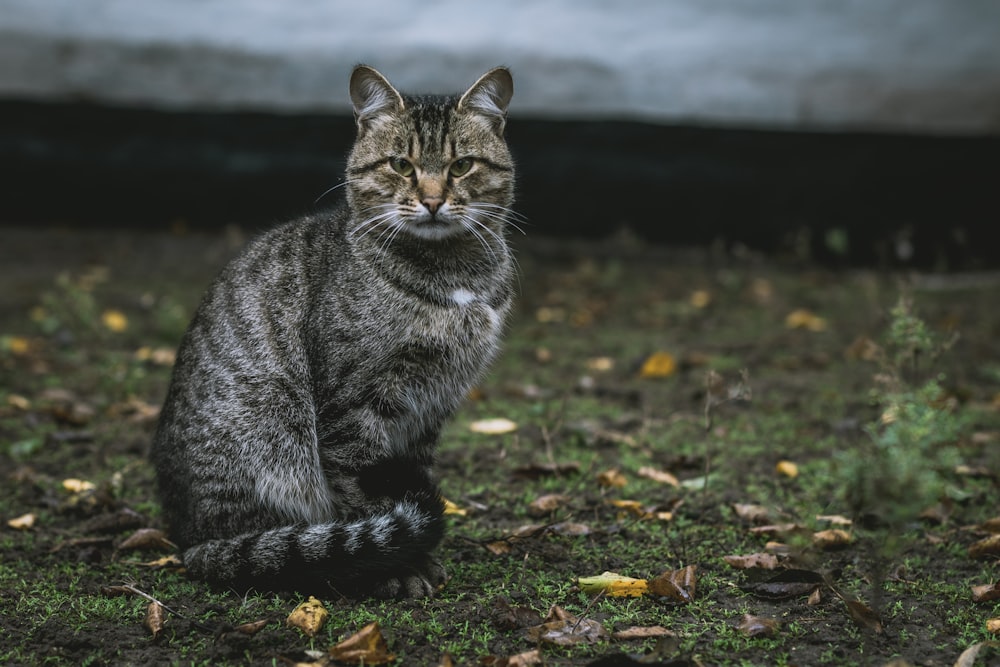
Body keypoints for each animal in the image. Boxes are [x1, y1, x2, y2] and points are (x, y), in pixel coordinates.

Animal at [152, 66, 520, 600]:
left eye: (462, 166)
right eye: (401, 165)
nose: (432, 200)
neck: (453, 275)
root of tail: (188, 540)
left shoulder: (431, 404)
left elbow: (408, 478)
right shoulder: (354, 406)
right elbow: (365, 491)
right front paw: (396, 566)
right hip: (273, 442)